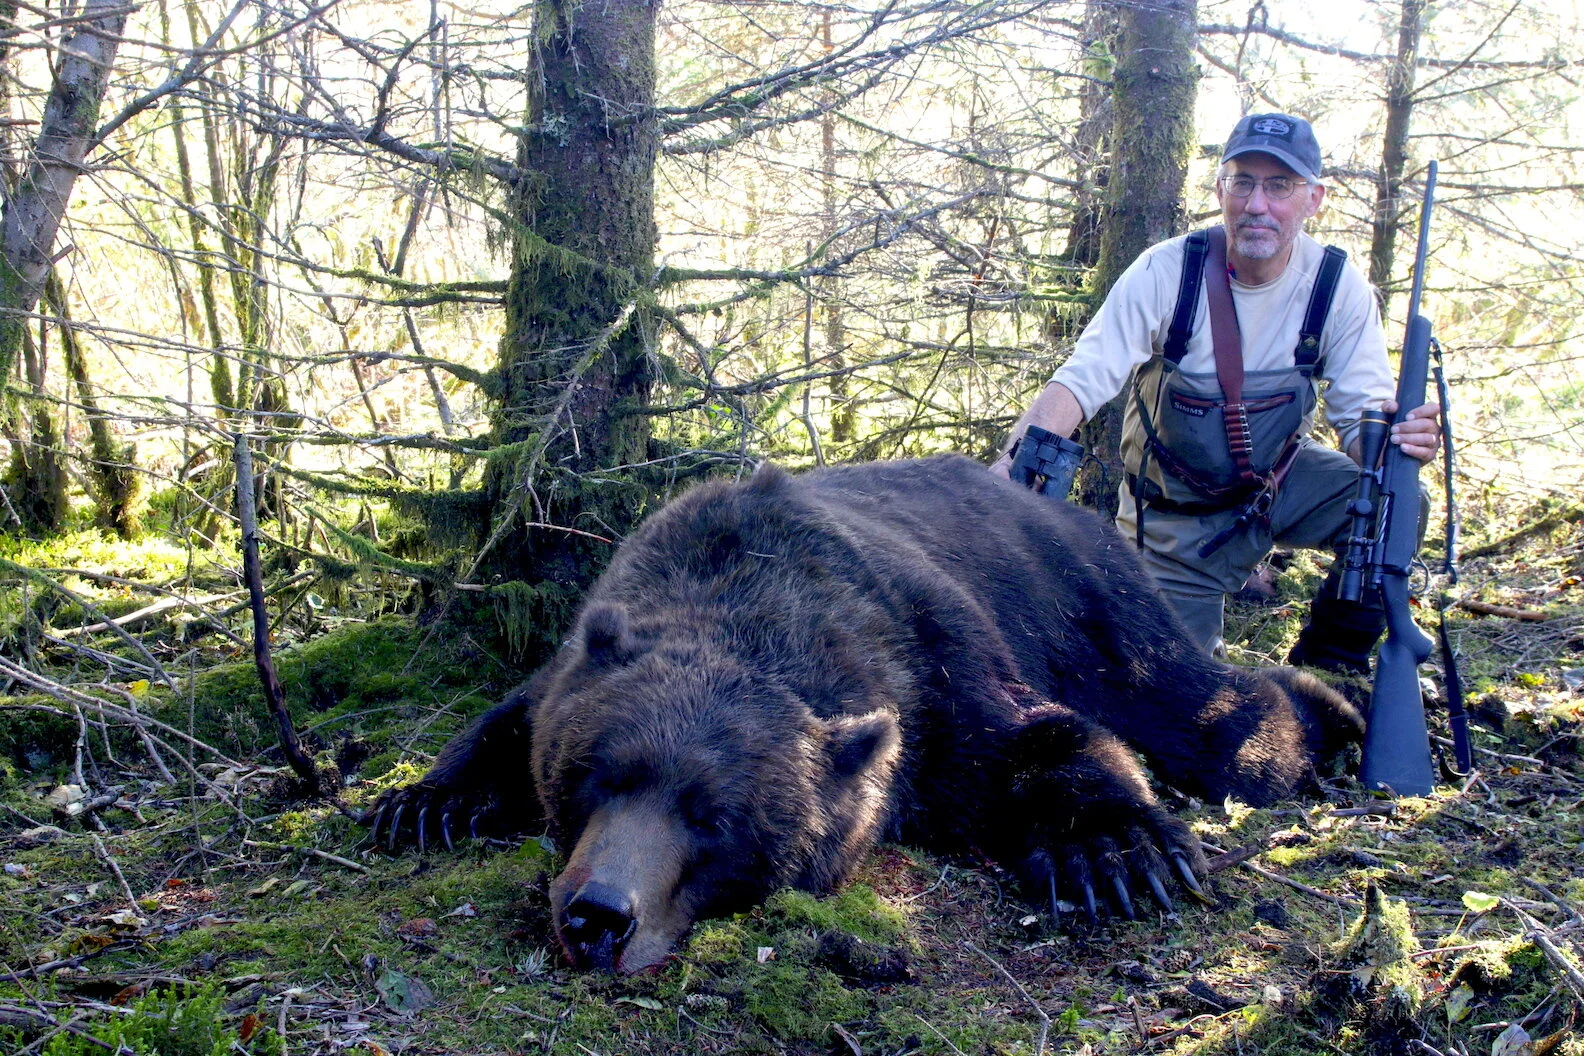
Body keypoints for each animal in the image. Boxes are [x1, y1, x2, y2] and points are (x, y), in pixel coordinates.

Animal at [368, 455, 1362, 973]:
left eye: (713, 818)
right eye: (593, 777)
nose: (597, 915)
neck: (750, 596)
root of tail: (1074, 514)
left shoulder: (936, 680)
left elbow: (1044, 739)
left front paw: (1118, 854)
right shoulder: (589, 644)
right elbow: (512, 714)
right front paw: (422, 802)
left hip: (1093, 607)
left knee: (1211, 721)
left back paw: (1339, 712)